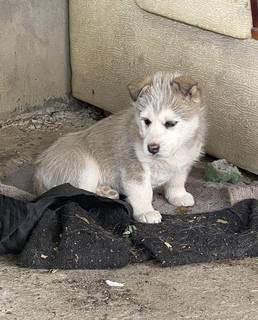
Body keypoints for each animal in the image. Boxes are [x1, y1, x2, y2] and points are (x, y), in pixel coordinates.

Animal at [33, 72, 206, 222]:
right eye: (146, 121)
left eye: (170, 123)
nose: (152, 148)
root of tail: (39, 167)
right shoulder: (134, 168)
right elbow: (143, 191)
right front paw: (146, 212)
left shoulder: (182, 164)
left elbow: (177, 181)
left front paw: (178, 196)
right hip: (85, 167)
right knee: (78, 192)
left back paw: (106, 192)